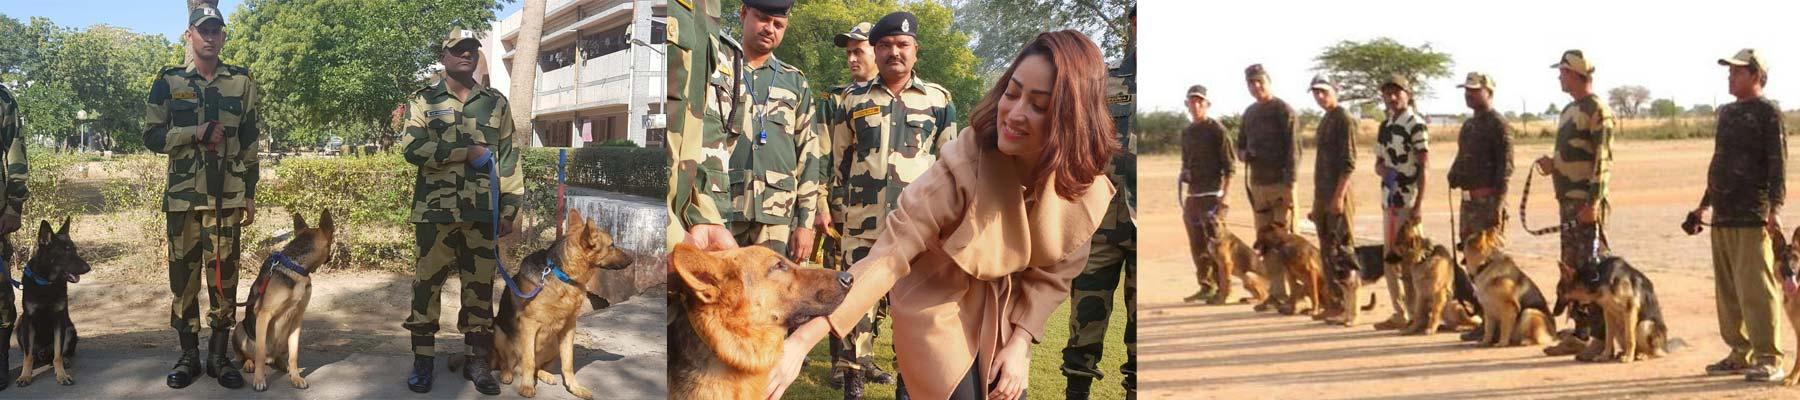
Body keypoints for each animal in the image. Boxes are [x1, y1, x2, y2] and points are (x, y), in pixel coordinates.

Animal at [12, 218, 89, 387]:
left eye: (75, 250)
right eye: (66, 252)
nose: (88, 268)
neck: (47, 283)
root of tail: (44, 351)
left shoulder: (59, 321)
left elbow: (58, 354)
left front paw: (62, 375)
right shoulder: (29, 321)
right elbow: (27, 356)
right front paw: (25, 375)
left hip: (70, 329)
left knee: (59, 353)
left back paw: (64, 360)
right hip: (21, 326)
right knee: (33, 354)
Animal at [232, 210, 334, 392]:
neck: (296, 267)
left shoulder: (297, 318)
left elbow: (294, 355)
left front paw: (296, 377)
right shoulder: (264, 315)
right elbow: (259, 354)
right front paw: (259, 380)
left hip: (283, 340)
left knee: (278, 357)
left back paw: (284, 366)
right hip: (239, 329)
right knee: (249, 356)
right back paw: (249, 365)